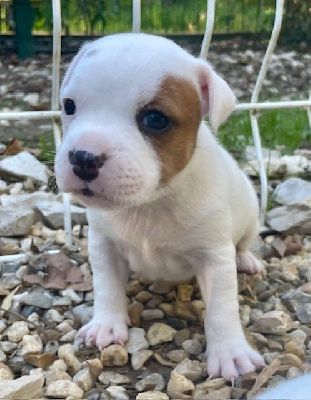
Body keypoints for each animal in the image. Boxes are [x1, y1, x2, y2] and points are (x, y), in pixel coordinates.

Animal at [55, 32, 266, 380]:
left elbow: (221, 308)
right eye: (69, 106)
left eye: (155, 119)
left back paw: (247, 260)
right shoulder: (104, 246)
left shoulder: (214, 258)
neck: (150, 203)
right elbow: (106, 286)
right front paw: (106, 325)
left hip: (250, 216)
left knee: (245, 243)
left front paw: (230, 353)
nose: (83, 157)